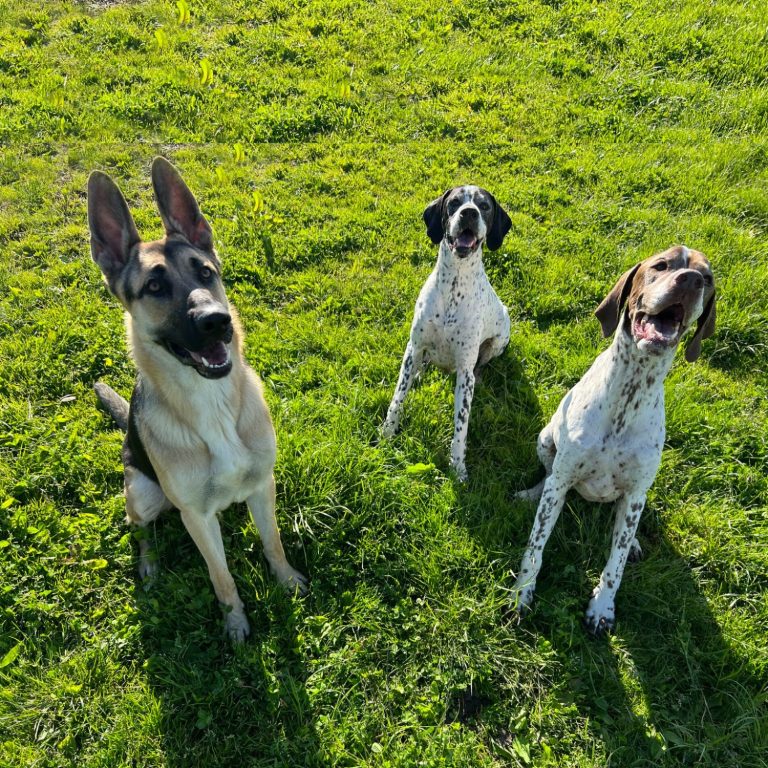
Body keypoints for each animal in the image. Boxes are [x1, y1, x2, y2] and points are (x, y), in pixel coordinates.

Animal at [88, 157, 307, 642]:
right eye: (154, 287)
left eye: (205, 272)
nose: (217, 321)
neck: (213, 406)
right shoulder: (198, 519)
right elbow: (220, 575)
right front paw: (236, 623)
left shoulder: (263, 486)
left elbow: (273, 542)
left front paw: (286, 580)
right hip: (142, 492)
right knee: (141, 531)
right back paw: (150, 566)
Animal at [381, 186, 512, 481]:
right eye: (454, 203)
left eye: (484, 206)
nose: (469, 213)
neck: (454, 285)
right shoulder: (414, 348)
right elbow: (398, 396)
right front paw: (387, 431)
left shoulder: (464, 371)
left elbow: (461, 426)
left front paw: (458, 467)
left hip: (498, 341)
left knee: (481, 365)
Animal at [513, 245, 716, 634]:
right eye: (661, 266)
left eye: (708, 277)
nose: (691, 281)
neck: (629, 390)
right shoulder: (563, 475)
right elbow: (536, 545)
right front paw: (521, 592)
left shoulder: (636, 493)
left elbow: (615, 562)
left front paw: (602, 607)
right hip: (545, 440)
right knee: (547, 477)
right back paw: (531, 494)